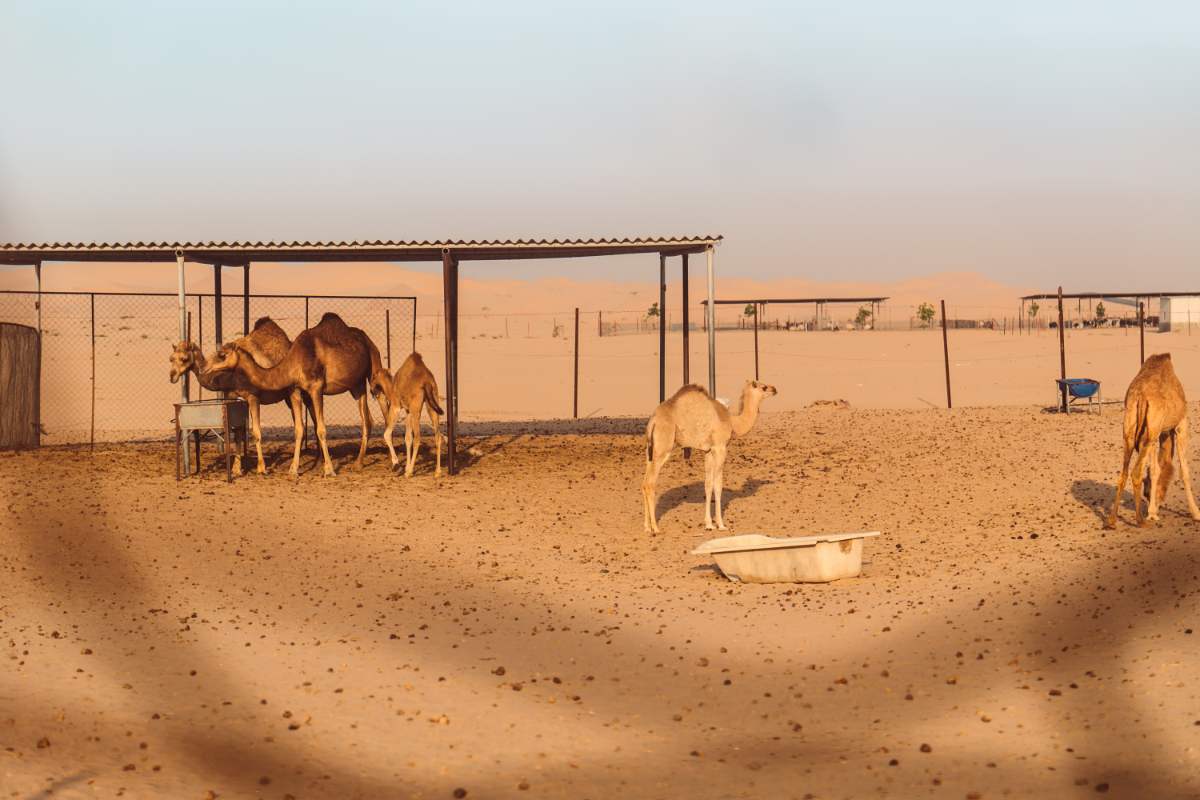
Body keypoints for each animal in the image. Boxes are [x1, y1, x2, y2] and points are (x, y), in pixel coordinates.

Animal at [169, 314, 312, 474]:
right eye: (171, 358)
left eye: (184, 358)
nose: (172, 376)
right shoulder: (232, 397)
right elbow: (237, 434)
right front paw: (236, 468)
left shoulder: (253, 397)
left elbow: (256, 432)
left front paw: (261, 468)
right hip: (289, 396)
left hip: (296, 390)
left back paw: (298, 466)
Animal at [201, 311, 386, 474]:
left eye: (222, 355)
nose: (205, 367)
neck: (292, 362)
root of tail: (366, 339)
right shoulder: (295, 390)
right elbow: (299, 429)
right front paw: (293, 470)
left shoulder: (316, 387)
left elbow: (321, 429)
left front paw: (329, 470)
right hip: (356, 384)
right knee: (367, 420)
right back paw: (358, 463)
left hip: (373, 365)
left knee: (382, 400)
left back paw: (387, 462)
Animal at [638, 381, 777, 534]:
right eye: (763, 387)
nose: (775, 389)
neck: (732, 422)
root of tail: (653, 421)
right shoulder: (720, 448)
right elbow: (718, 485)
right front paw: (721, 524)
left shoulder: (709, 451)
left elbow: (708, 484)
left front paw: (709, 524)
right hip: (663, 449)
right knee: (650, 483)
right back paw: (656, 528)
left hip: (649, 451)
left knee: (644, 483)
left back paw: (646, 527)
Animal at [1104, 352, 1200, 527]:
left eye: (1147, 492)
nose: (1155, 500)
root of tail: (1141, 397)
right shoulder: (1181, 424)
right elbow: (1184, 471)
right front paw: (1196, 513)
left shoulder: (1159, 433)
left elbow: (1155, 469)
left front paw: (1153, 512)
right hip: (1151, 432)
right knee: (1136, 472)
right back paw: (1140, 520)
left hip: (1131, 431)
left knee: (1124, 473)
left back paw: (1112, 521)